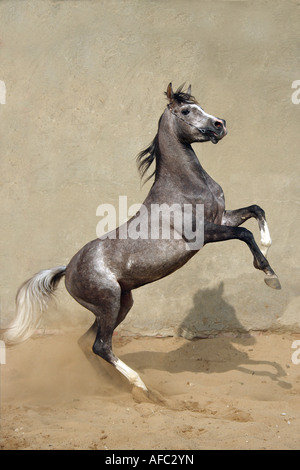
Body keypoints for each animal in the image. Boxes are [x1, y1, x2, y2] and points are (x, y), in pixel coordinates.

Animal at [3, 84, 282, 392]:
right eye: (187, 111)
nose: (220, 125)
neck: (184, 186)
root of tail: (67, 270)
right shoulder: (203, 233)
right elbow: (244, 233)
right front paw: (269, 274)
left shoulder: (221, 219)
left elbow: (256, 210)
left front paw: (268, 250)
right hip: (109, 303)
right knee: (101, 345)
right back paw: (143, 389)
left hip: (120, 305)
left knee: (88, 343)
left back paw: (110, 384)